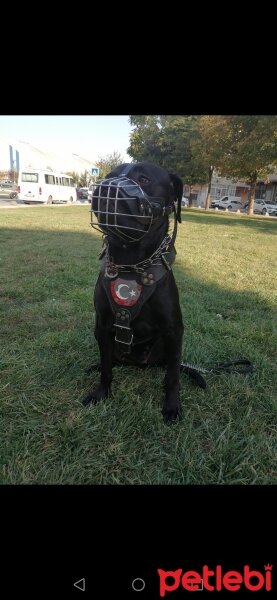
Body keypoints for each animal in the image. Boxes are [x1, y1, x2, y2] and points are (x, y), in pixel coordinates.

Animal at [82, 161, 185, 422]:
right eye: (109, 176)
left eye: (144, 179)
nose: (106, 187)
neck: (130, 264)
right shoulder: (103, 326)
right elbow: (106, 368)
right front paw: (101, 393)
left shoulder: (174, 331)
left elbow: (172, 377)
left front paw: (171, 406)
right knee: (110, 361)